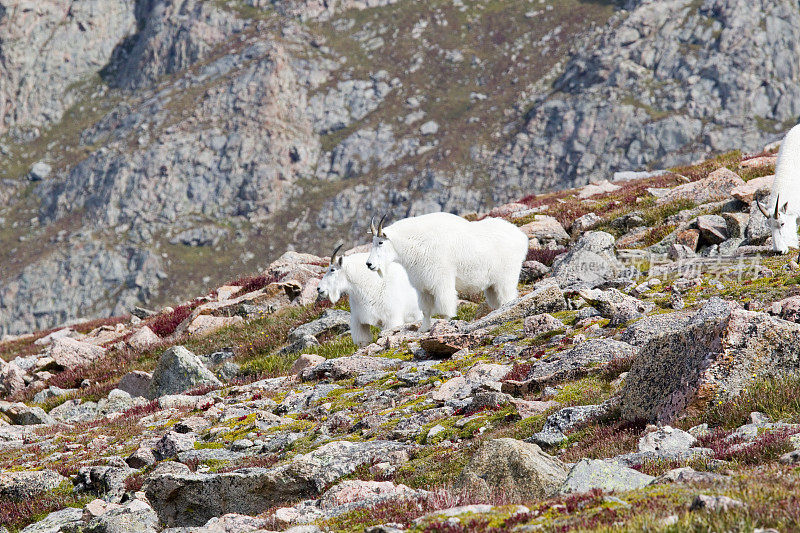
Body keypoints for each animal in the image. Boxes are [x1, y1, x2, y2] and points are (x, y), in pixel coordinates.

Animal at [366, 211, 528, 328]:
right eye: (373, 242)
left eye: (380, 242)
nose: (369, 264)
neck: (416, 244)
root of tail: (521, 237)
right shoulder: (423, 288)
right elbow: (426, 311)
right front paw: (423, 329)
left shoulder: (441, 283)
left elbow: (445, 309)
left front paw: (445, 324)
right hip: (492, 286)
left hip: (507, 278)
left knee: (508, 298)